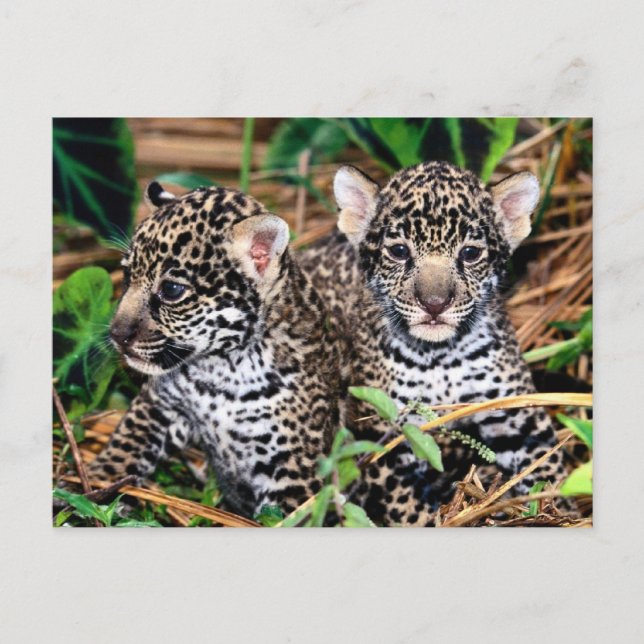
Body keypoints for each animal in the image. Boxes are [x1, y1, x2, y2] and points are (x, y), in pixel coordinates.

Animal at [82, 182, 341, 519]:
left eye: (172, 290)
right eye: (127, 276)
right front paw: (94, 486)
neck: (222, 372)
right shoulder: (158, 405)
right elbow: (125, 444)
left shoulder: (294, 471)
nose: (117, 335)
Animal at [299, 161, 567, 526]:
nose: (435, 304)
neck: (441, 358)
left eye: (470, 253)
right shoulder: (386, 435)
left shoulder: (516, 413)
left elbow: (548, 468)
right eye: (399, 251)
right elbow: (408, 509)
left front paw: (561, 510)